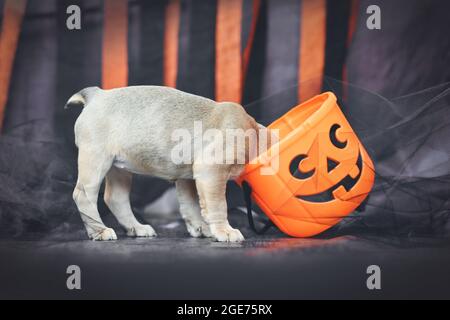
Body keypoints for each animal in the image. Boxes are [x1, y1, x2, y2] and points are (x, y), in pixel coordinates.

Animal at [65, 86, 266, 241]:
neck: (254, 131)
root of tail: (97, 95)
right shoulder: (212, 173)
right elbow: (218, 205)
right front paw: (225, 231)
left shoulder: (187, 178)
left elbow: (190, 205)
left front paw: (200, 227)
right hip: (96, 161)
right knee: (83, 196)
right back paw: (99, 231)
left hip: (119, 168)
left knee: (115, 197)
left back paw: (136, 227)